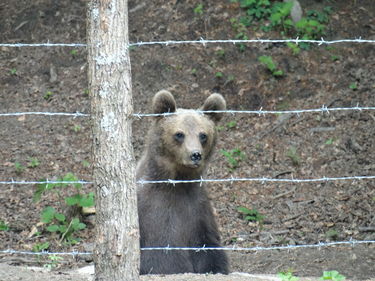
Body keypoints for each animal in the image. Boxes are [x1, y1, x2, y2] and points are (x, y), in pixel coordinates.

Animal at [136, 89, 229, 274]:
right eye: (179, 134)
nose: (195, 155)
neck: (178, 181)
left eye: (203, 135)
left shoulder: (197, 210)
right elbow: (163, 257)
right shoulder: (152, 208)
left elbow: (209, 250)